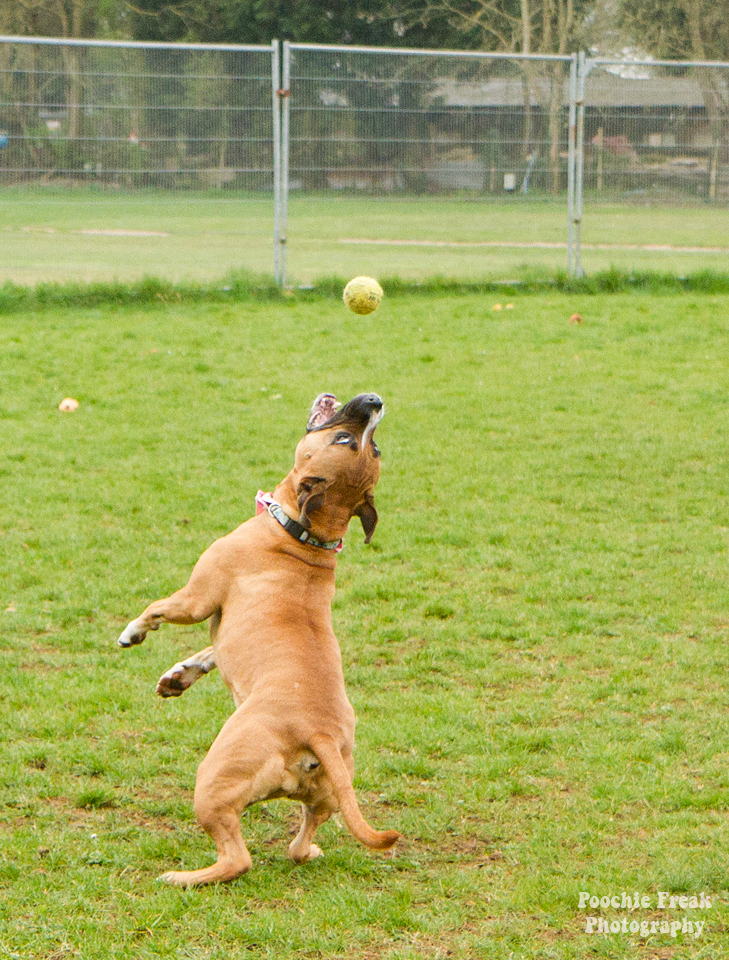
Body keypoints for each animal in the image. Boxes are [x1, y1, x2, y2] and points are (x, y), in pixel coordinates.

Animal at [118, 390, 398, 884]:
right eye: (362, 445)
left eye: (350, 440)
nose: (374, 400)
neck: (306, 534)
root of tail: (317, 733)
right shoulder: (222, 626)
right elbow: (210, 652)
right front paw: (179, 675)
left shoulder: (196, 599)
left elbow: (159, 608)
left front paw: (133, 631)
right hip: (326, 797)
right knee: (300, 842)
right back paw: (309, 850)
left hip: (215, 780)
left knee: (236, 859)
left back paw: (182, 879)